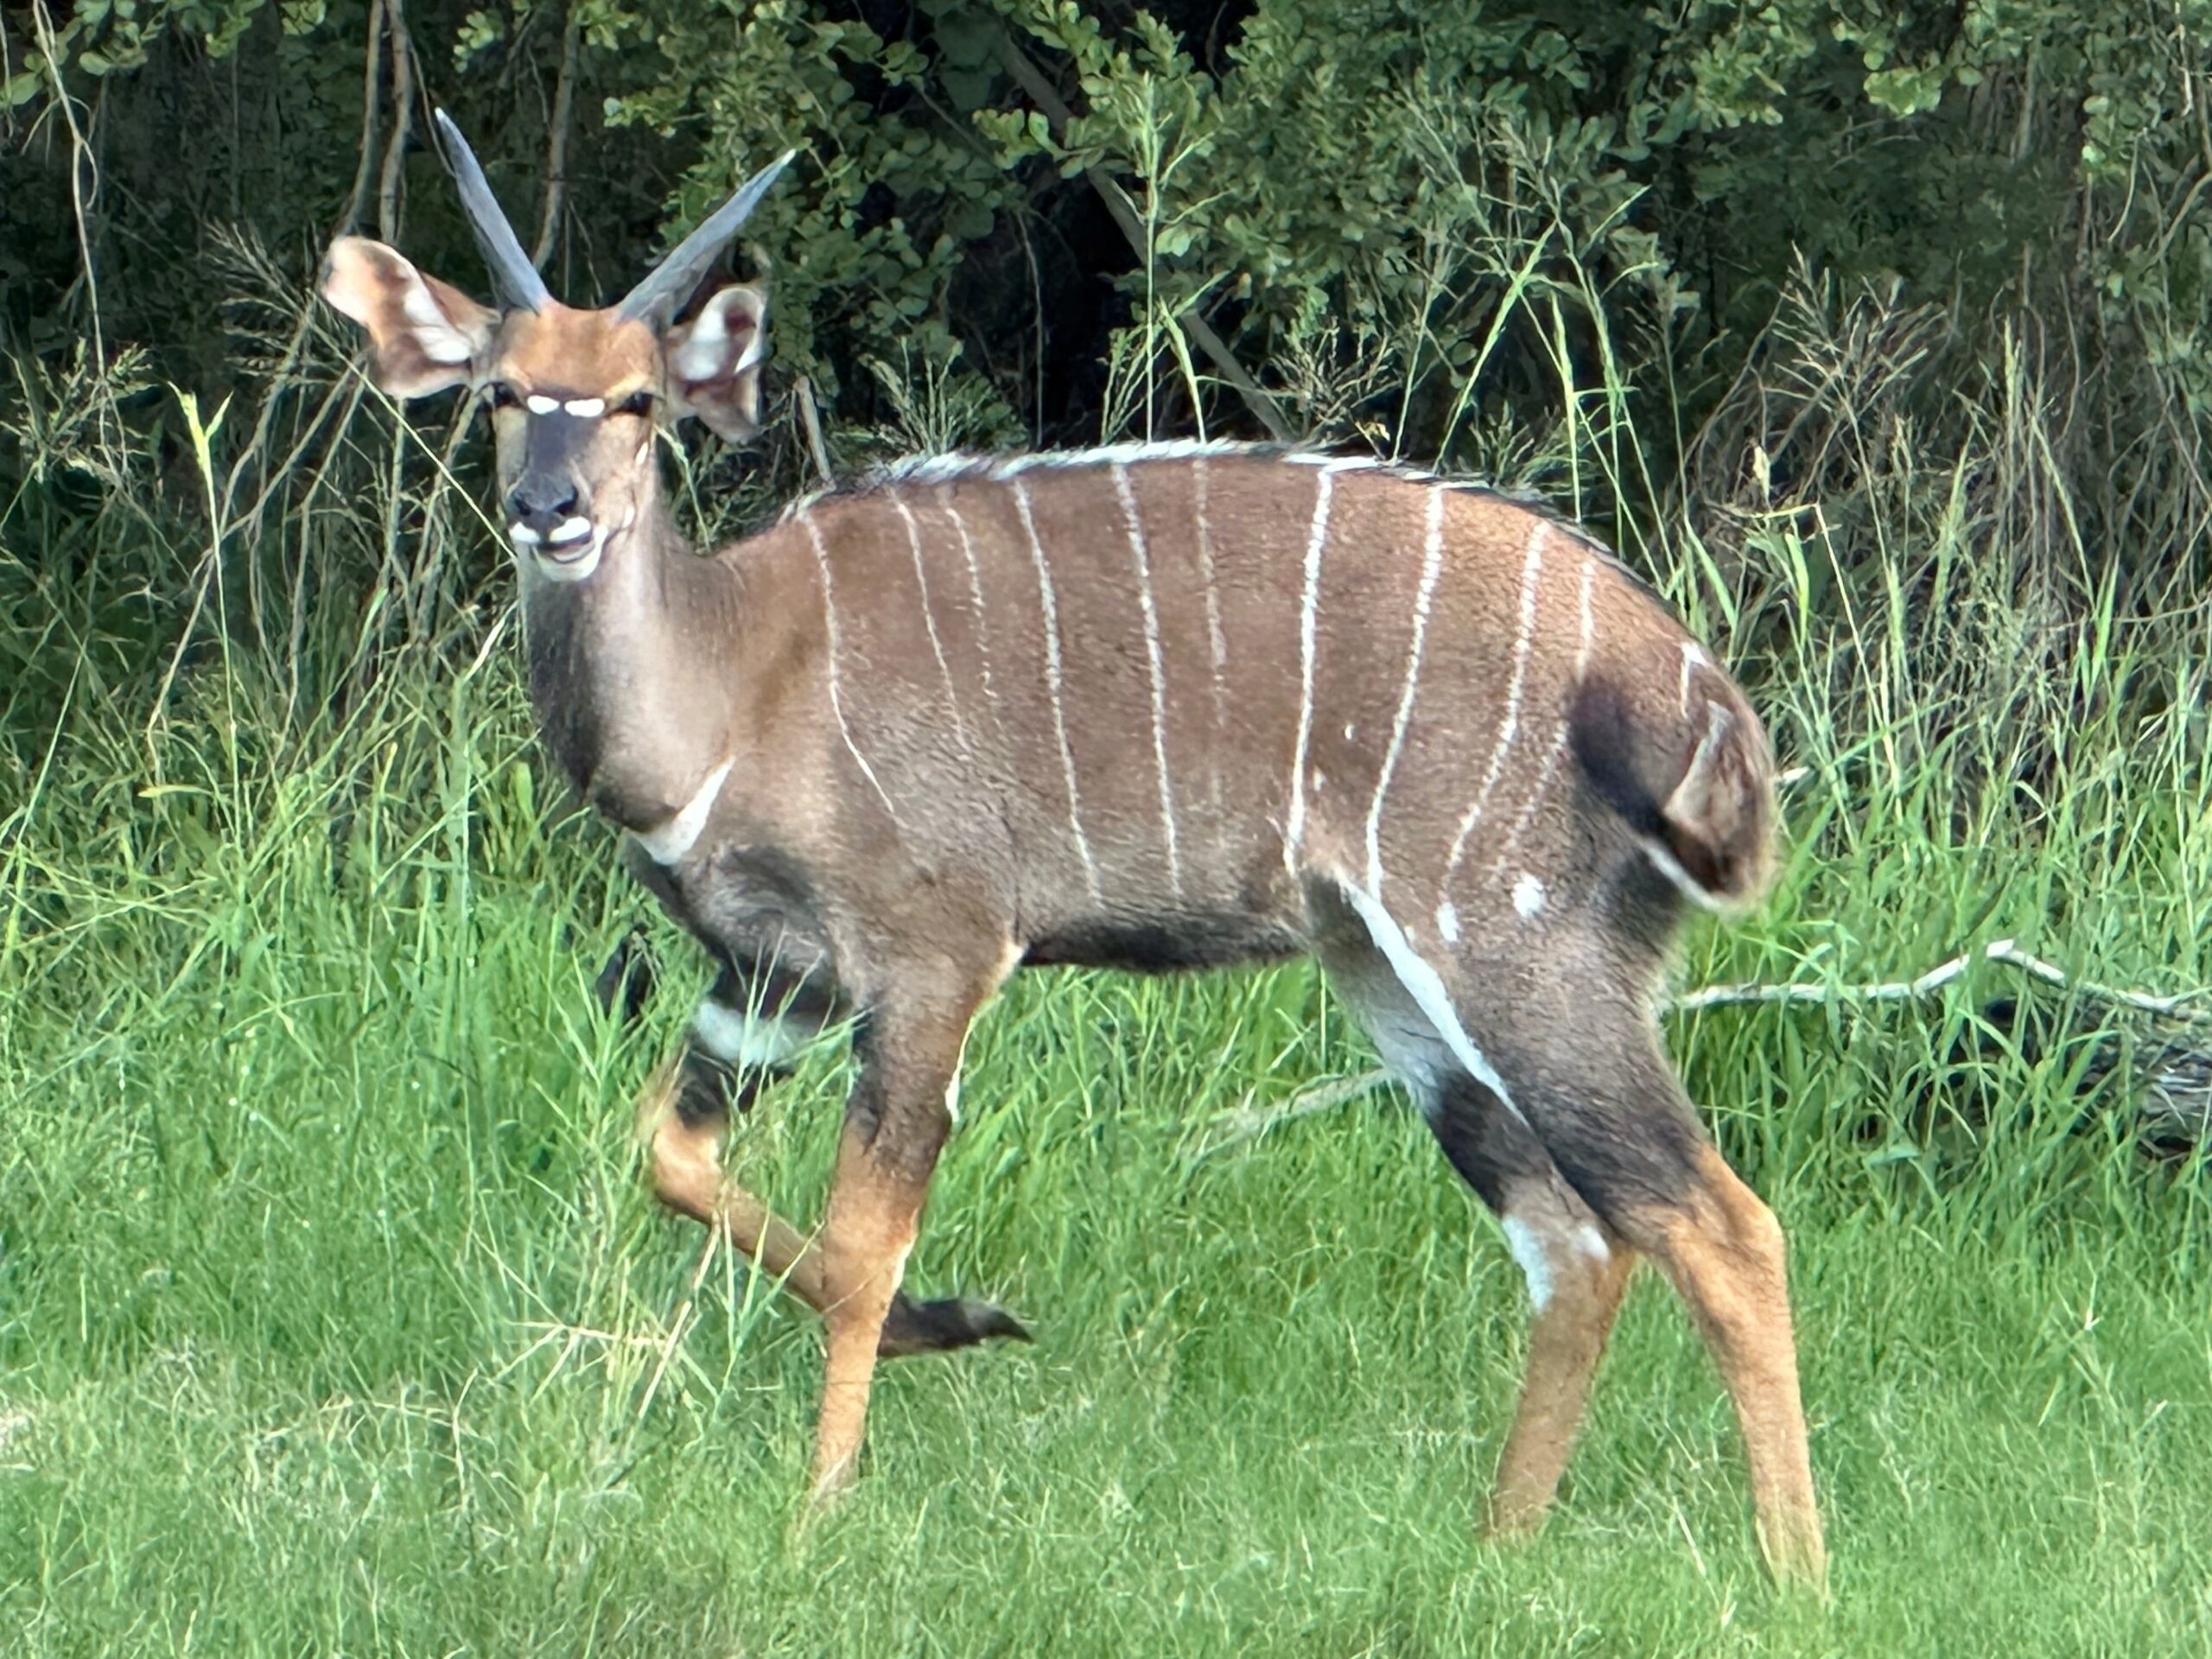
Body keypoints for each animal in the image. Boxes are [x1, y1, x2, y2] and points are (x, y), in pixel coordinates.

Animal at [320, 114, 1824, 1584]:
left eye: (637, 401)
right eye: (503, 391)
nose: (551, 512)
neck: (734, 678)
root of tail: (1686, 686)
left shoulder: (932, 958)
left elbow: (863, 1242)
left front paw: (819, 1515)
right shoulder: (770, 980)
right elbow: (670, 1157)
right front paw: (959, 1323)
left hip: (1513, 952)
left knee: (1720, 1224)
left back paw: (1791, 1576)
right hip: (1388, 975)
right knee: (1577, 1239)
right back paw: (1495, 1551)